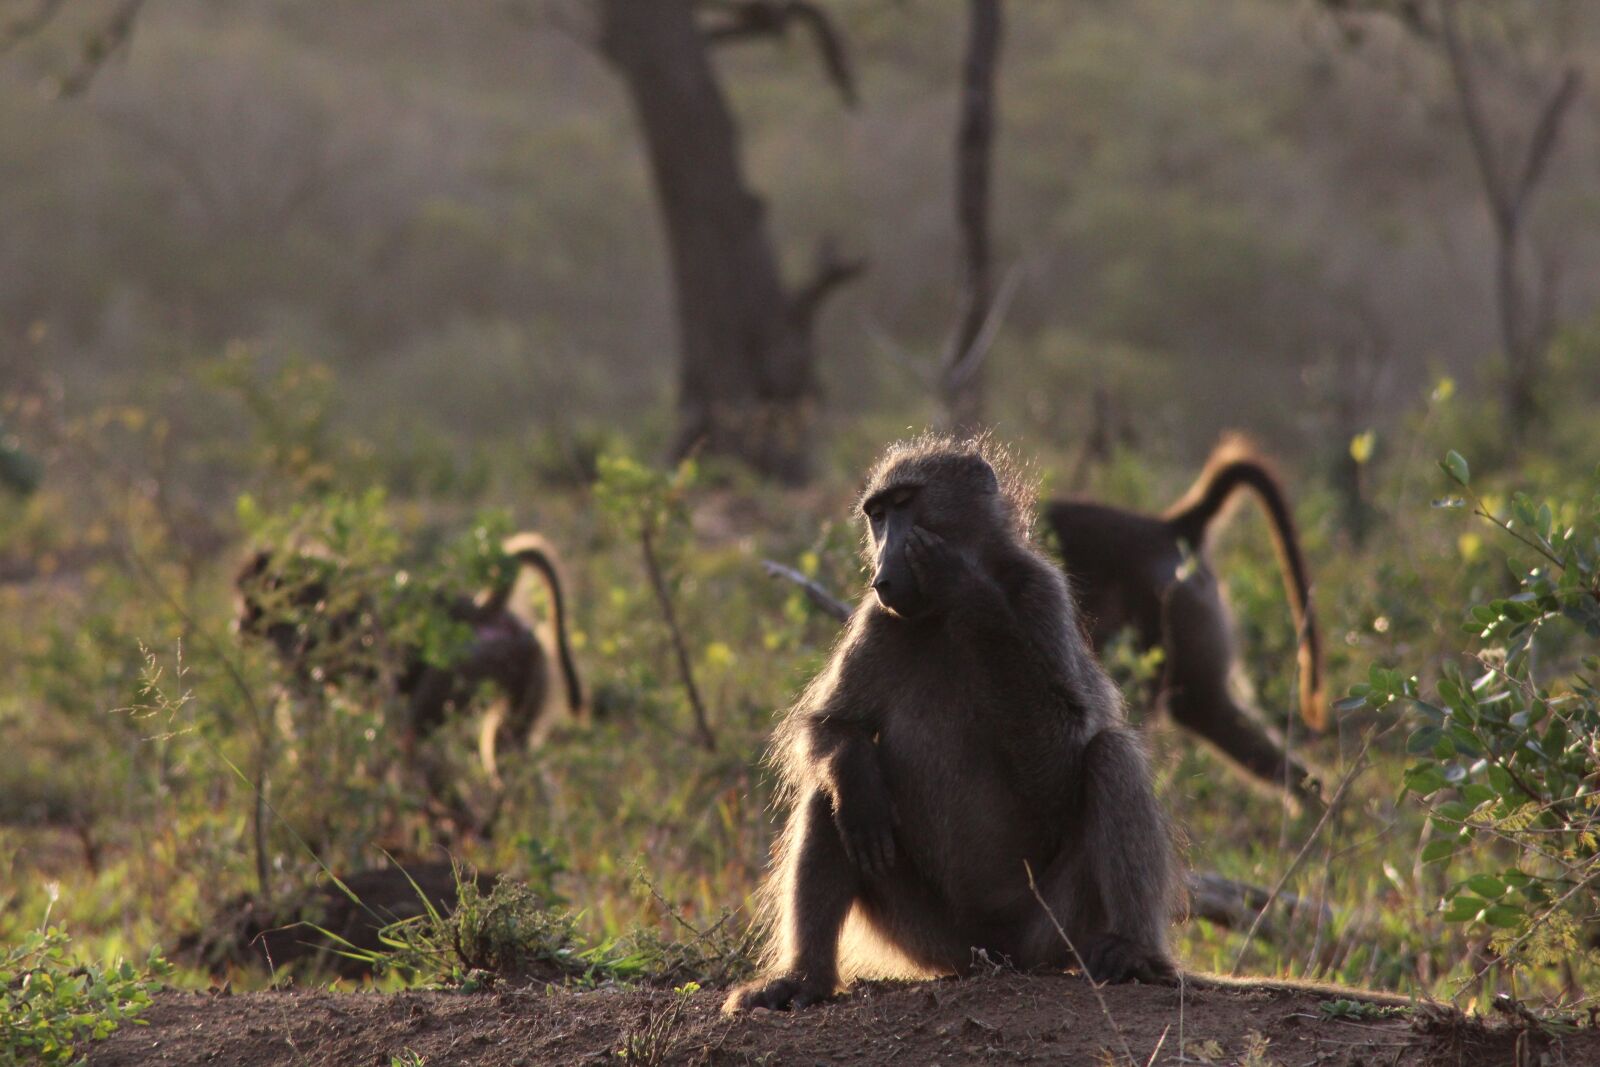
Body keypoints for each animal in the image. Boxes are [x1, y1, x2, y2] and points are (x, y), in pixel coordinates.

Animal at [235, 532, 585, 781]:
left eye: (248, 599)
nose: (237, 626)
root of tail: (480, 610)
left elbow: (304, 712)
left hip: (462, 666)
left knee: (410, 732)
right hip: (523, 662)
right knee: (508, 750)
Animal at [725, 436, 1178, 1013]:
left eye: (906, 503)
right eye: (877, 515)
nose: (885, 566)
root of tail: (996, 954)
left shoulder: (1044, 595)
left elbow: (1060, 760)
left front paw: (968, 590)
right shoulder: (877, 617)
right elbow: (830, 727)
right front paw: (855, 773)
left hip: (1054, 928)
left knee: (1110, 753)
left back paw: (1134, 953)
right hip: (934, 939)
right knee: (836, 795)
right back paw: (802, 979)